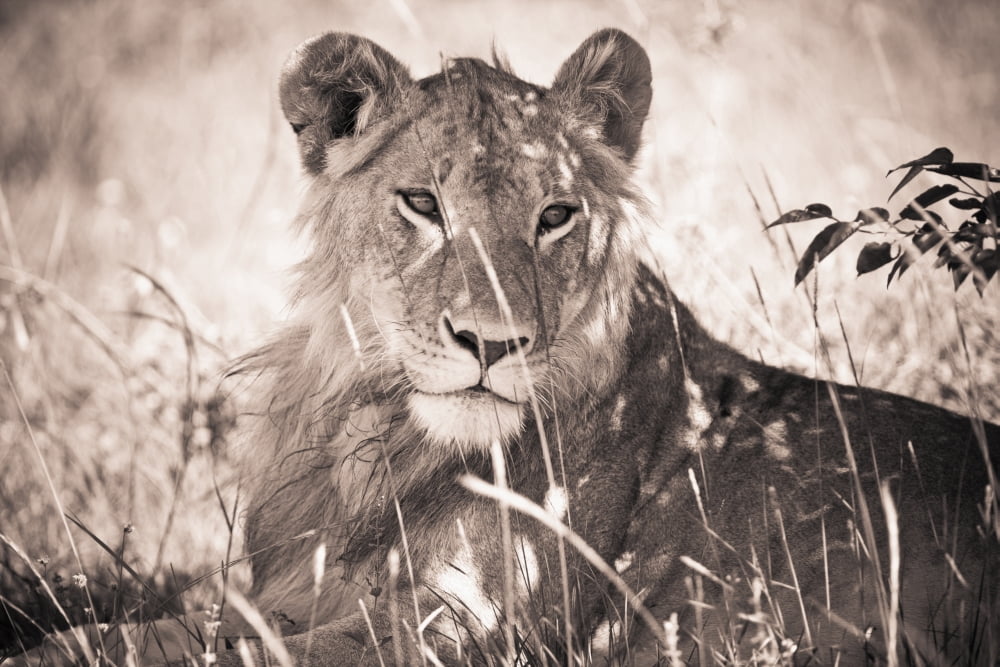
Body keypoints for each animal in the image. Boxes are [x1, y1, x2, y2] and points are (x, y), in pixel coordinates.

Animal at [17, 28, 999, 666]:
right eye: (422, 203)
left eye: (555, 215)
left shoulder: (469, 627)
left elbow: (241, 654)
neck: (373, 440)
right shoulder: (288, 592)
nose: (492, 343)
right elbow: (151, 631)